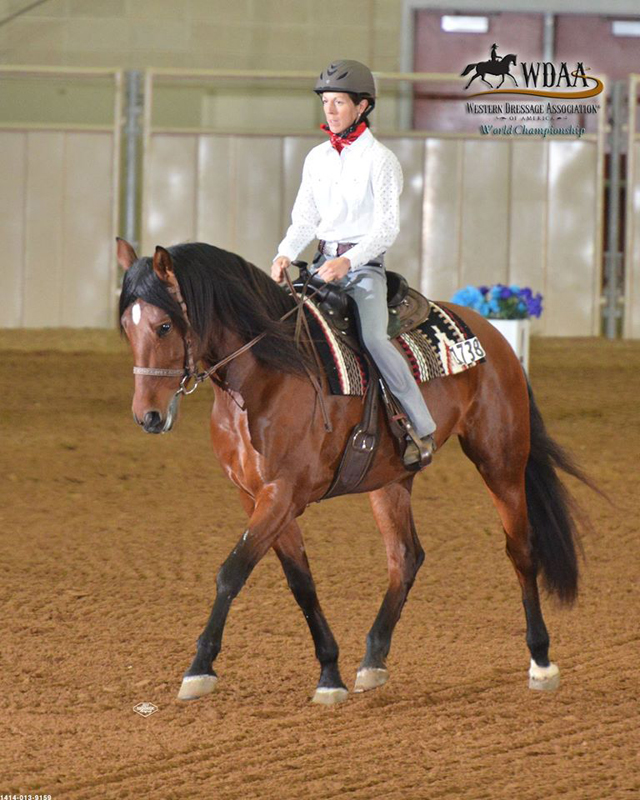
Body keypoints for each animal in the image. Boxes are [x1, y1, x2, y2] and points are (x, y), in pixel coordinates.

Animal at [117, 238, 593, 705]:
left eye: (164, 326)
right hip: (389, 482)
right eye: (126, 326)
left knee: (521, 550)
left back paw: (541, 661)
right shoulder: (256, 496)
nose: (148, 417)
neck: (265, 376)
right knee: (405, 557)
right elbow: (300, 581)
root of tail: (493, 336)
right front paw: (330, 673)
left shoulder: (282, 493)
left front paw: (199, 669)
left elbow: (231, 572)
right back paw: (373, 660)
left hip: (501, 460)